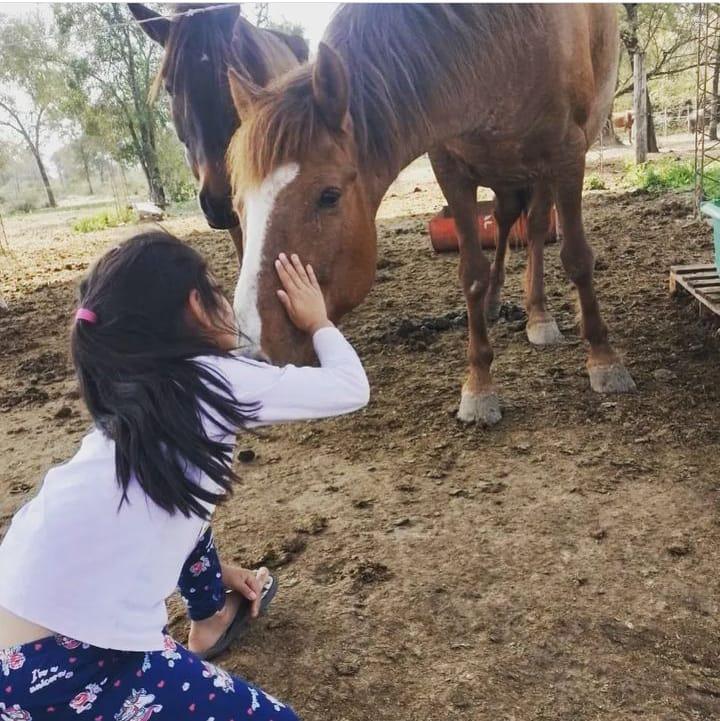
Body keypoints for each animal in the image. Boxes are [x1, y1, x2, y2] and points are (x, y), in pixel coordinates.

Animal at [226, 4, 635, 425]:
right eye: (238, 203)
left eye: (329, 196)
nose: (257, 352)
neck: (504, 42)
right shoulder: (450, 167)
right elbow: (472, 274)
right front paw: (479, 384)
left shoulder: (567, 154)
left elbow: (577, 260)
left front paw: (603, 358)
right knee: (506, 221)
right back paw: (498, 303)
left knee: (535, 227)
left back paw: (539, 314)